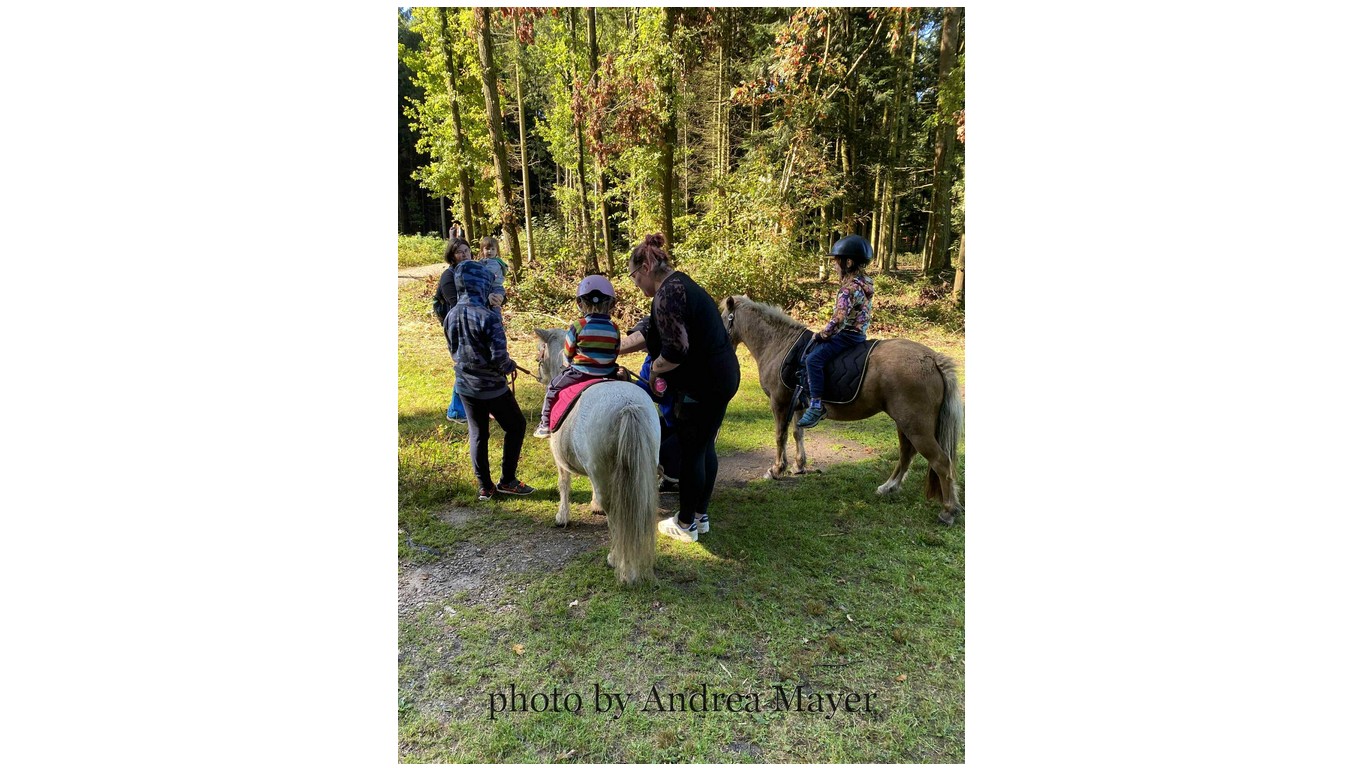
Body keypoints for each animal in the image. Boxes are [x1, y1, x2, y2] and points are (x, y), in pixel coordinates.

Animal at [534, 328, 660, 584]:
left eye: (540, 352)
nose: (538, 374)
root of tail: (628, 405)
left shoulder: (561, 461)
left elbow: (564, 484)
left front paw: (562, 516)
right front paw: (593, 506)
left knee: (615, 513)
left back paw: (617, 559)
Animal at [720, 295, 965, 525]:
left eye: (723, 317)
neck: (780, 345)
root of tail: (932, 359)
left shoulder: (779, 403)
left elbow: (781, 436)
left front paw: (776, 470)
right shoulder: (798, 405)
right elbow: (798, 433)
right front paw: (799, 466)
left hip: (915, 426)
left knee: (941, 462)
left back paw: (948, 510)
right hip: (905, 424)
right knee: (907, 454)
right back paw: (888, 487)